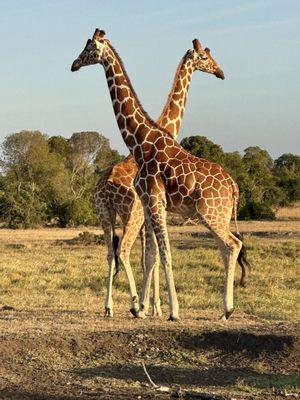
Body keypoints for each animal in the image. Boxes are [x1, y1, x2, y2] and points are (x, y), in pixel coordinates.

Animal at [72, 28, 248, 322]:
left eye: (88, 48)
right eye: (205, 56)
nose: (73, 64)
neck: (141, 141)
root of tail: (234, 187)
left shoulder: (153, 202)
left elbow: (161, 256)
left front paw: (166, 309)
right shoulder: (150, 204)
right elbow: (153, 256)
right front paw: (147, 307)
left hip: (209, 214)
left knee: (232, 245)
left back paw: (226, 308)